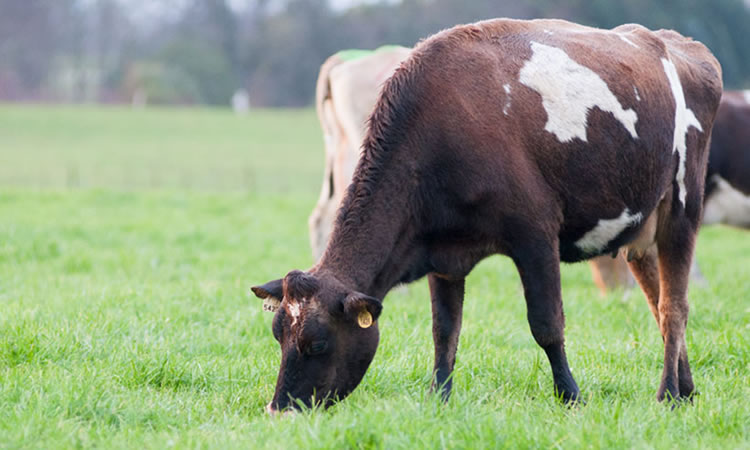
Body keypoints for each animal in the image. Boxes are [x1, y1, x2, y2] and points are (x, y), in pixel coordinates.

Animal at [256, 19, 724, 414]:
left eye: (317, 344)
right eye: (278, 334)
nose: (279, 409)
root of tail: (681, 45)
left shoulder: (536, 235)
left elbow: (547, 324)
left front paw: (571, 396)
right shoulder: (443, 253)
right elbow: (445, 330)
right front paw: (439, 397)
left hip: (682, 210)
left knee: (674, 306)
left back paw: (668, 394)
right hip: (640, 232)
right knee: (656, 300)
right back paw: (686, 388)